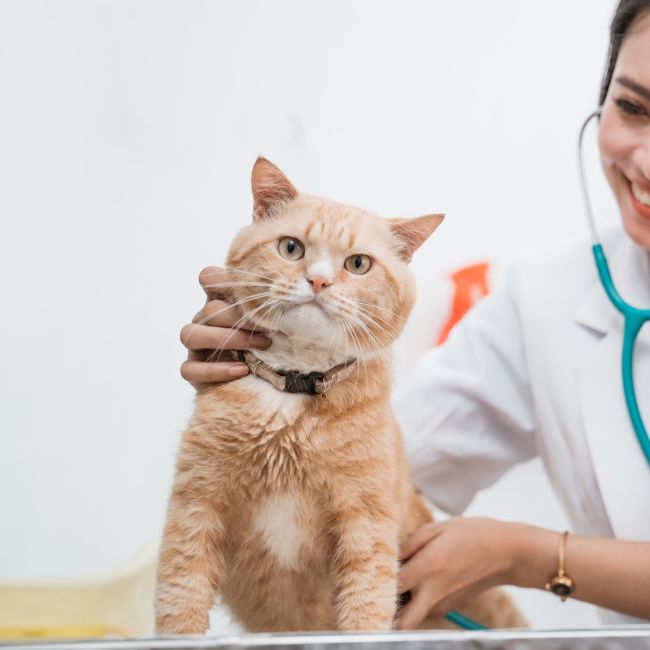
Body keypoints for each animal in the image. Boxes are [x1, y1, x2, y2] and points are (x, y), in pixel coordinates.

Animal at [154, 158, 524, 632]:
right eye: (291, 248)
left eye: (359, 263)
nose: (319, 280)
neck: (293, 390)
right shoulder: (195, 509)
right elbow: (180, 604)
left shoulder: (366, 527)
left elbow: (366, 609)